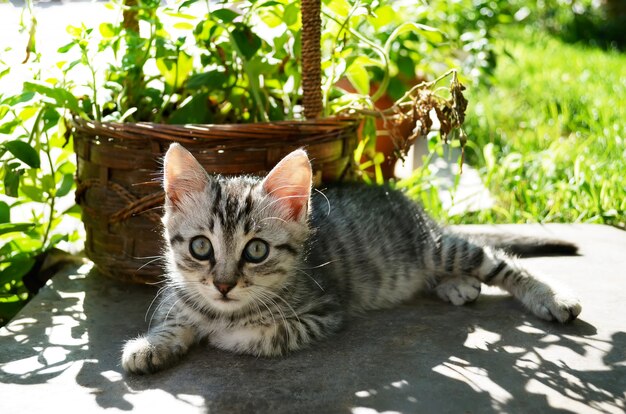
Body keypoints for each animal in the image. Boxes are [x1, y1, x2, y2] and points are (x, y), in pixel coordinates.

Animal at [122, 144, 580, 374]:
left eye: (256, 251)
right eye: (201, 247)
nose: (223, 284)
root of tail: (410, 203)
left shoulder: (323, 312)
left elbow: (258, 335)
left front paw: (221, 332)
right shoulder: (176, 297)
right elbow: (172, 319)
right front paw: (151, 346)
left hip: (437, 248)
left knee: (499, 262)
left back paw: (552, 298)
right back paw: (459, 286)